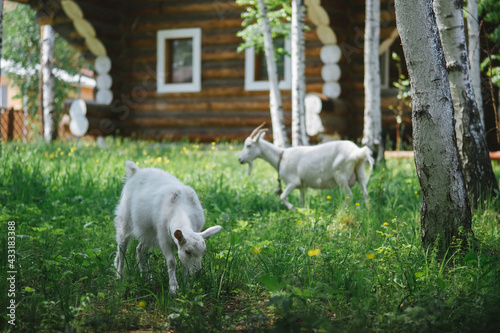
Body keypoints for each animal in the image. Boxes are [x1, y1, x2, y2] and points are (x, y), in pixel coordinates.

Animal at [115, 161, 223, 294]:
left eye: (203, 252)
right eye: (188, 251)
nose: (198, 274)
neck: (181, 207)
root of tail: (136, 170)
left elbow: (184, 264)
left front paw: (186, 285)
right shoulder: (163, 239)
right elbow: (172, 262)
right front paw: (173, 288)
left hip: (148, 231)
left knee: (140, 249)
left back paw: (146, 277)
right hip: (125, 218)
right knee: (122, 247)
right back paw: (120, 276)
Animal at [239, 123, 376, 209]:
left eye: (249, 146)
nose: (240, 159)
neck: (280, 157)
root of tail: (358, 152)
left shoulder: (293, 182)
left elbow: (282, 196)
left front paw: (293, 208)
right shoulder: (302, 186)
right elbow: (302, 201)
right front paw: (303, 213)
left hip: (341, 176)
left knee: (349, 195)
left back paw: (342, 210)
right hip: (360, 172)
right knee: (366, 193)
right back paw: (368, 211)